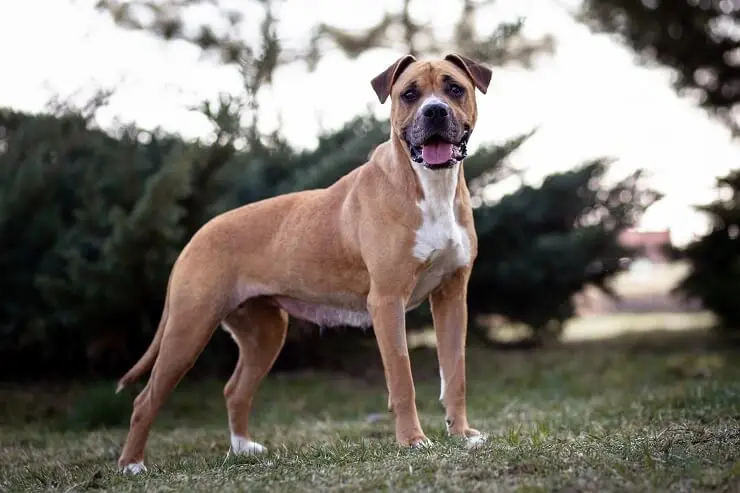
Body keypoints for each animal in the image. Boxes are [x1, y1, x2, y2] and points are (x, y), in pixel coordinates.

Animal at [114, 53, 492, 472]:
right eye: (409, 94)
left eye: (454, 88)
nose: (435, 111)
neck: (430, 185)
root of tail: (197, 236)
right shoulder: (387, 301)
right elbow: (402, 377)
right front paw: (412, 440)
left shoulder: (451, 297)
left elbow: (455, 373)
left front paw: (462, 434)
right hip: (188, 329)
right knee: (146, 399)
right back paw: (132, 465)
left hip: (265, 333)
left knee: (234, 390)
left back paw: (242, 447)